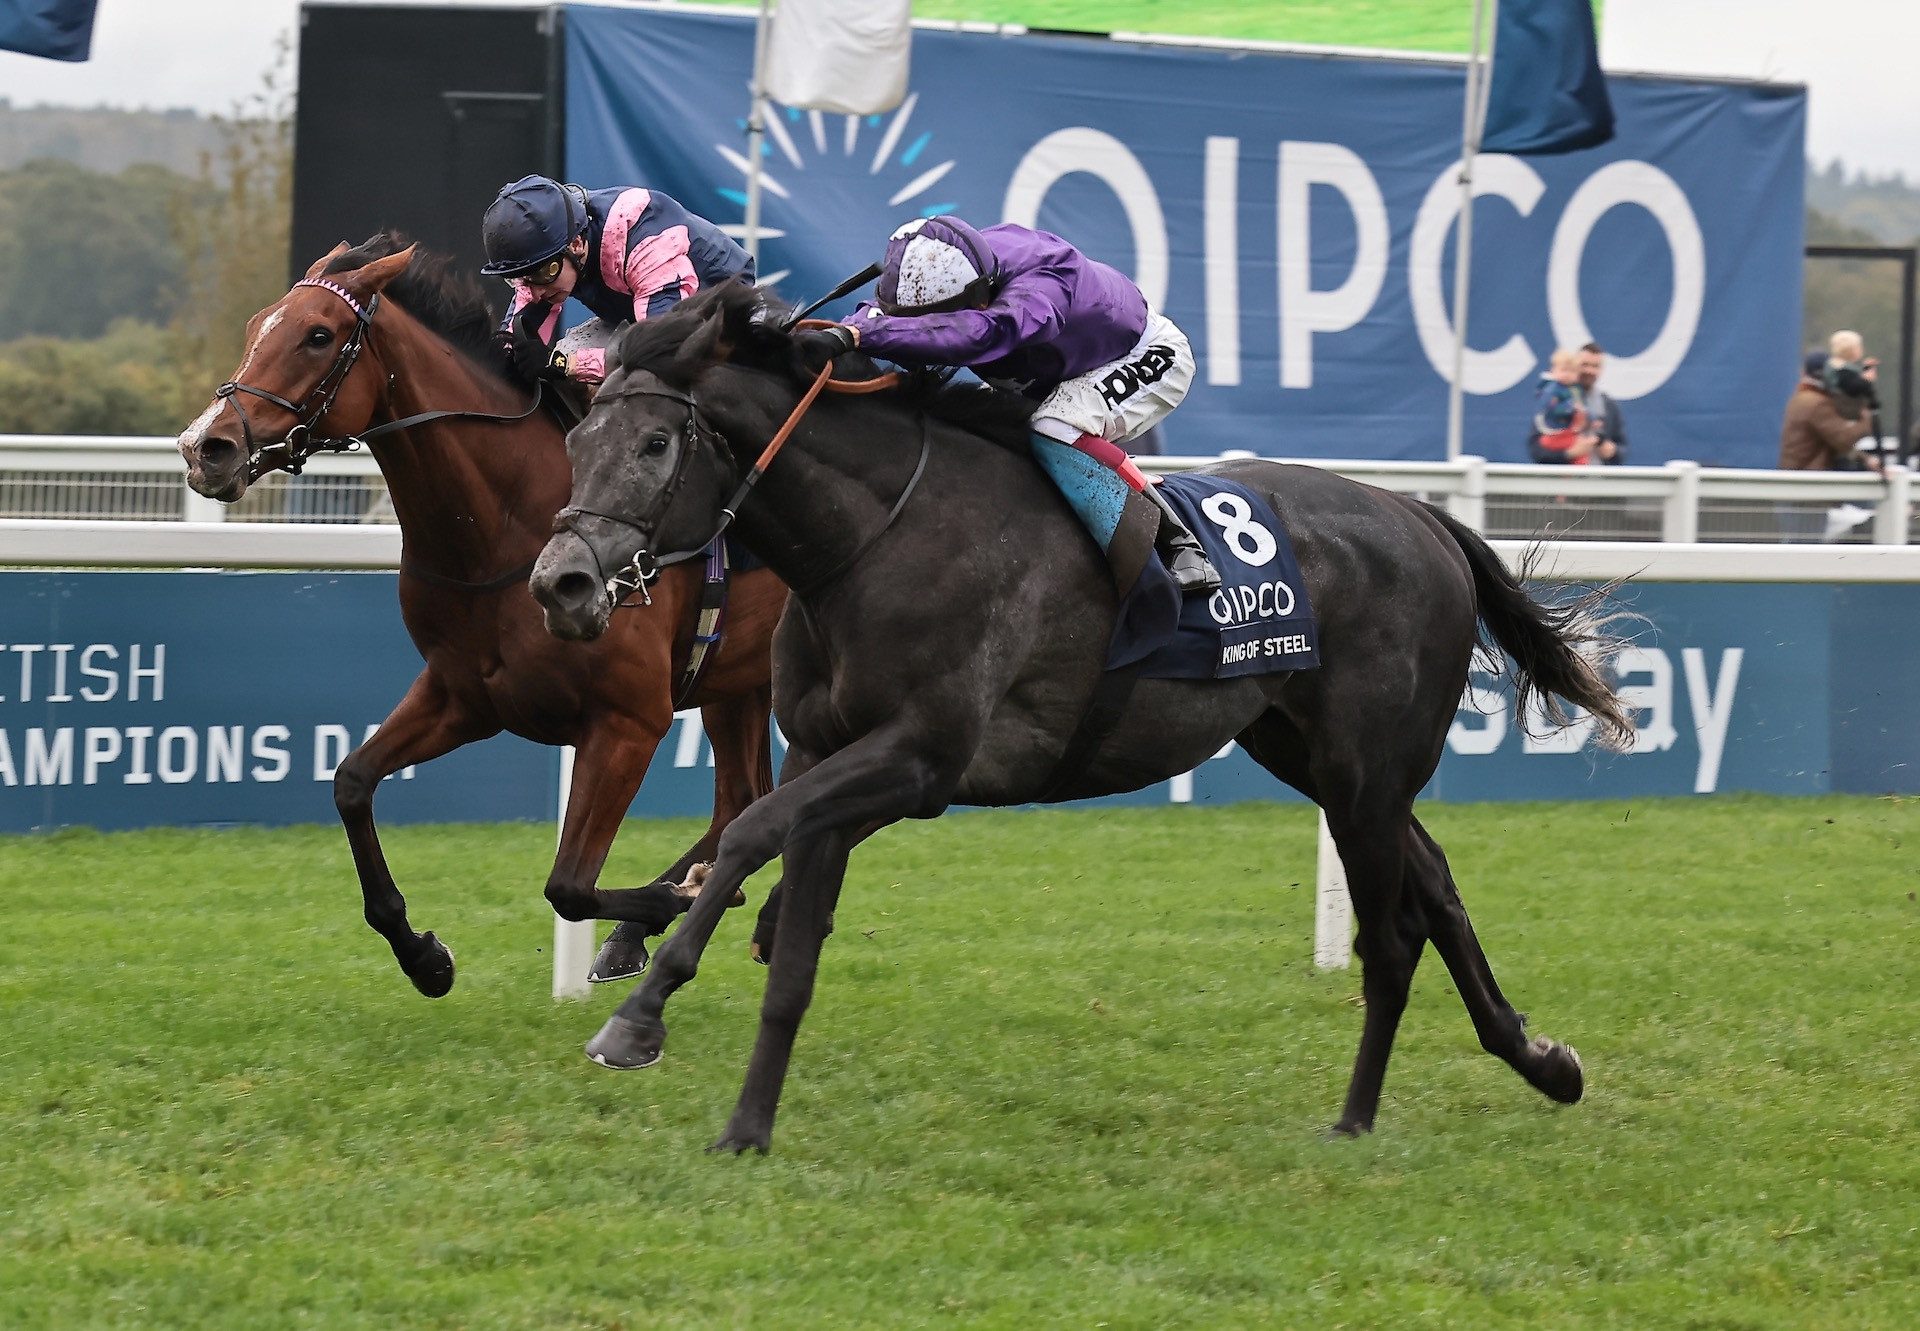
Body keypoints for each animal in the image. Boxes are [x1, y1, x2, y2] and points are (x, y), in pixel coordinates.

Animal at [174, 233, 787, 998]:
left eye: (319, 335)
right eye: (258, 325)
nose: (206, 446)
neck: (505, 524)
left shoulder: (628, 719)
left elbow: (569, 885)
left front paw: (670, 903)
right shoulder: (464, 695)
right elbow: (351, 782)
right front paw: (424, 958)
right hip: (736, 674)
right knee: (743, 797)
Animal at [526, 282, 1635, 1152]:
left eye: (657, 441)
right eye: (575, 436)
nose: (560, 583)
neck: (873, 539)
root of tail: (1426, 518)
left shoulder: (921, 761)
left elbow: (747, 833)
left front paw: (638, 1014)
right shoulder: (828, 756)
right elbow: (791, 949)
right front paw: (747, 1127)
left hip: (1364, 769)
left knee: (1394, 933)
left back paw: (1357, 1118)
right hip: (1312, 751)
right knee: (1436, 881)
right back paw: (1540, 1058)